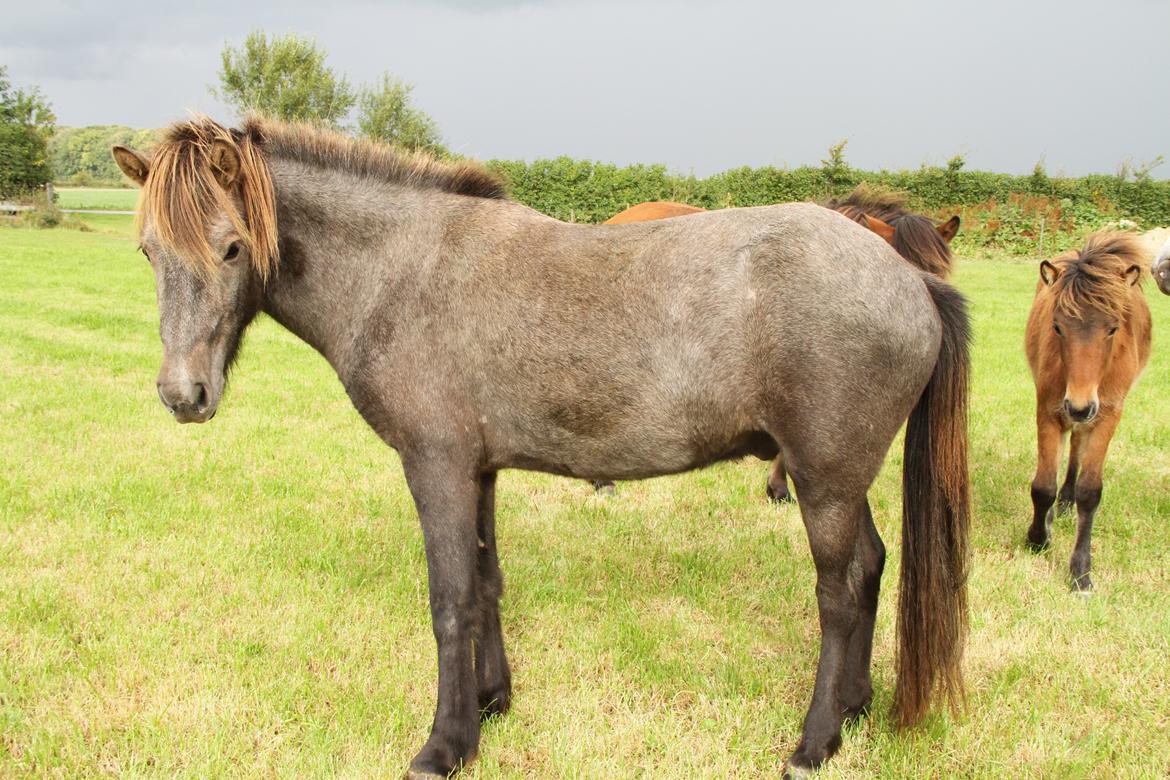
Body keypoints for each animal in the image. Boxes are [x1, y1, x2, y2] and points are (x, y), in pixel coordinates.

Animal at [1024, 231, 1151, 591]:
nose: (1080, 405)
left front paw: (1081, 572)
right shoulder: (1048, 408)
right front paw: (1038, 538)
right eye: (1057, 327)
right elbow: (1043, 485)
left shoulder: (1107, 414)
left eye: (1113, 328)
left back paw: (1067, 500)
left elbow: (1090, 491)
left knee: (1078, 446)